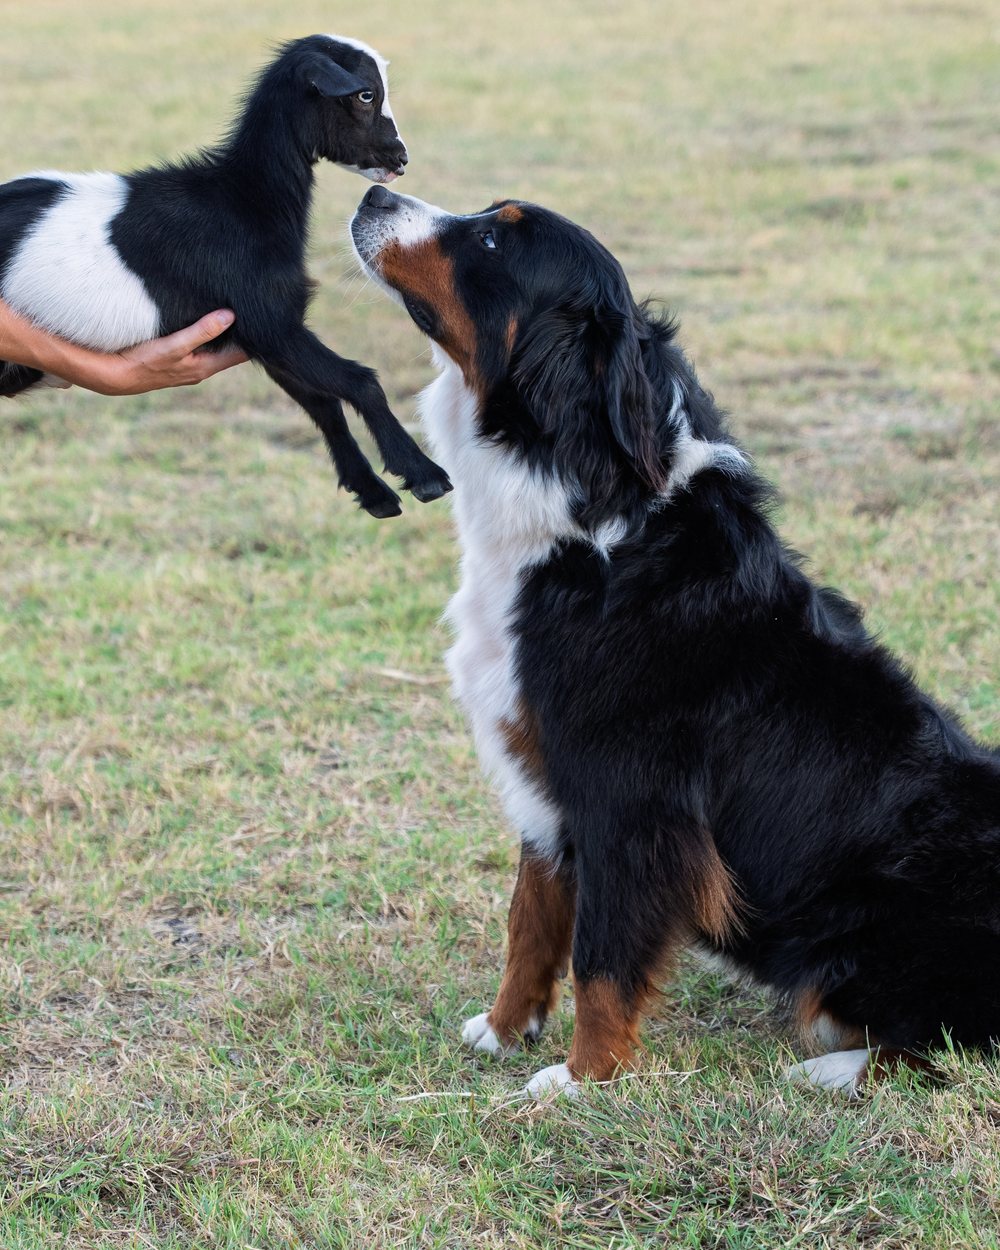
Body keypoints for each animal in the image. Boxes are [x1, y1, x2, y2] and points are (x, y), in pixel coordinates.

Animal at [0, 34, 451, 517]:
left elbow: (323, 402)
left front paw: (372, 491)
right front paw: (422, 474)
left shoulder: (261, 336)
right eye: (365, 94)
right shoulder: (269, 322)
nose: (400, 160)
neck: (243, 199)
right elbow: (360, 382)